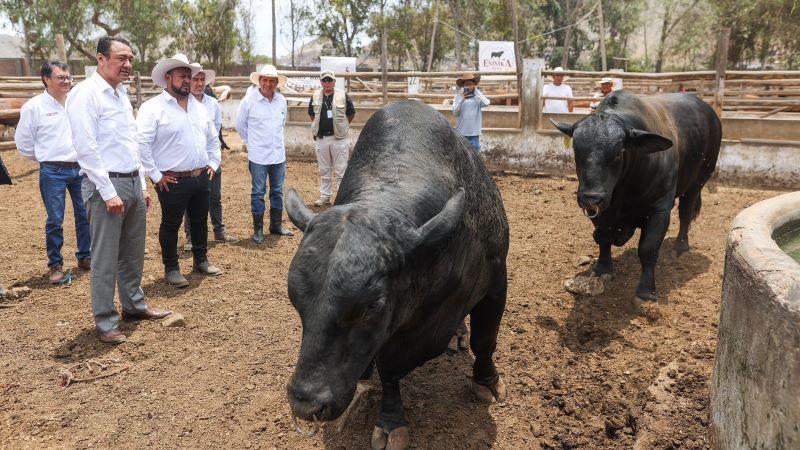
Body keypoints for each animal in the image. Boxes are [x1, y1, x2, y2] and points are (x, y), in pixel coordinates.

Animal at [284, 100, 510, 448]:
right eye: (295, 299)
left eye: (371, 306)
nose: (307, 403)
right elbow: (389, 370)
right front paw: (391, 421)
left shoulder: (496, 284)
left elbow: (485, 340)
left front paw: (487, 381)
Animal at [552, 90, 720, 302]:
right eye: (576, 149)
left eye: (619, 152)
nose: (591, 197)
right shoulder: (599, 211)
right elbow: (602, 238)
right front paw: (603, 268)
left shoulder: (660, 209)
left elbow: (648, 248)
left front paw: (646, 290)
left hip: (698, 181)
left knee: (686, 212)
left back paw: (681, 246)